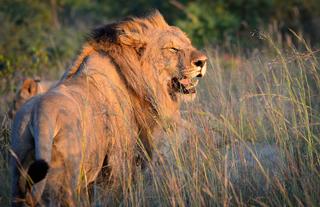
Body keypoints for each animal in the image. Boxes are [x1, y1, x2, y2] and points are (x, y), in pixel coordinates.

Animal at [10, 10, 208, 206]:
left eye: (189, 44)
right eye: (173, 49)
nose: (203, 61)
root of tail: (40, 113)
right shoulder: (119, 160)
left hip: (19, 169)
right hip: (66, 180)